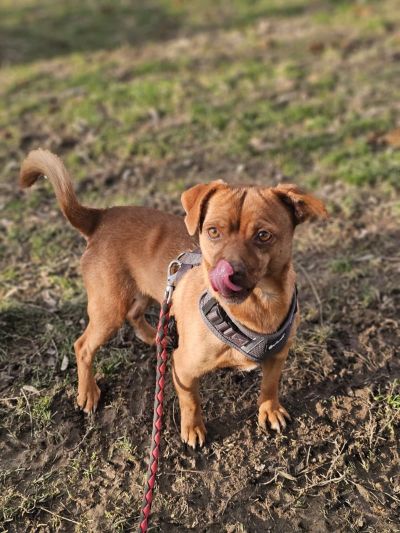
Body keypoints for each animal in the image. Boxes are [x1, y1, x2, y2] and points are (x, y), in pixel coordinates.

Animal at [20, 149, 327, 448]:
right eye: (212, 231)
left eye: (263, 235)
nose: (225, 272)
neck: (258, 307)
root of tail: (99, 217)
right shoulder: (184, 369)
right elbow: (191, 401)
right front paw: (192, 429)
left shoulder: (277, 357)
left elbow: (270, 385)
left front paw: (269, 409)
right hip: (109, 309)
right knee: (83, 346)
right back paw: (88, 392)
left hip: (148, 289)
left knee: (135, 314)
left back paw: (155, 337)